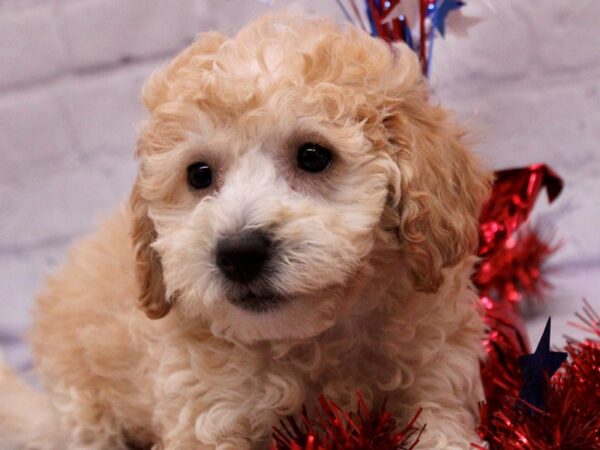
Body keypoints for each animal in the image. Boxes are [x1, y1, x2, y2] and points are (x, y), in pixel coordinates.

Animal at [0, 11, 490, 450]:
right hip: (81, 405)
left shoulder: (436, 374)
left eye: (314, 156)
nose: (238, 254)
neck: (310, 340)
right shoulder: (204, 409)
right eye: (198, 174)